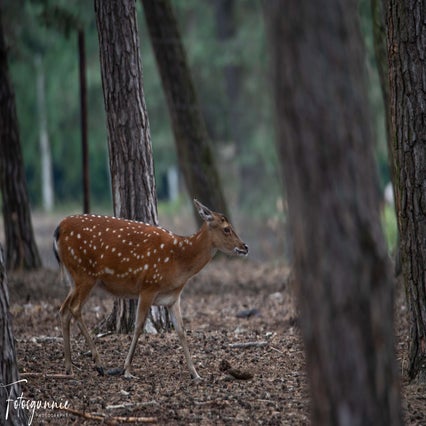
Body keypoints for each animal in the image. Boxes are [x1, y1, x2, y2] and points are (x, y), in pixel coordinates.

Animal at [53, 200, 248, 380]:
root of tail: (58, 228)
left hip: (75, 278)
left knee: (63, 309)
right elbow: (138, 326)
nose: (245, 247)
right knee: (75, 308)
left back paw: (69, 367)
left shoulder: (173, 297)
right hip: (84, 273)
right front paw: (127, 370)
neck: (179, 263)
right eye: (226, 229)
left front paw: (196, 374)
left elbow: (181, 331)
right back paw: (98, 363)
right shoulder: (148, 286)